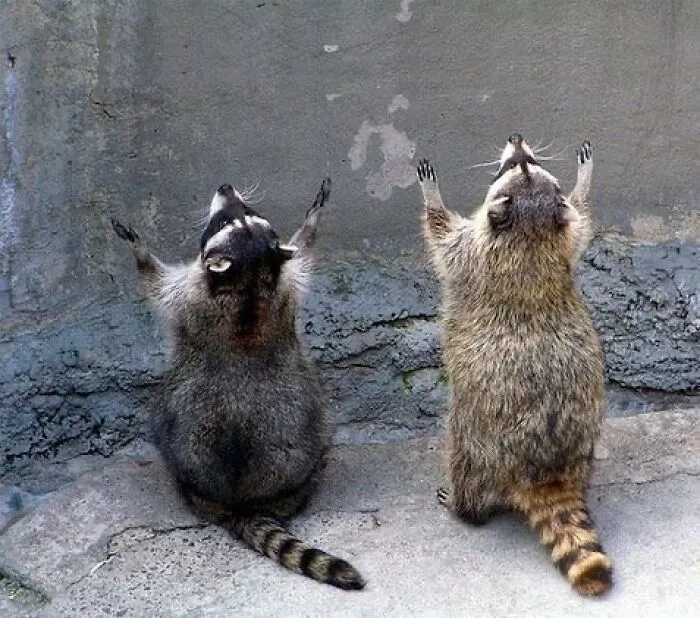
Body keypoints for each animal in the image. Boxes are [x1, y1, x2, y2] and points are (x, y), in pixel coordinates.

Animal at [111, 178, 365, 590]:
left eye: (230, 219)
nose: (226, 186)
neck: (250, 276)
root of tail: (241, 501)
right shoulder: (278, 286)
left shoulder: (190, 292)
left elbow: (154, 281)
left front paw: (138, 248)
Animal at [416, 136, 613, 596]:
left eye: (519, 164)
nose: (518, 140)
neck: (531, 235)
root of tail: (547, 470)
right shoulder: (563, 240)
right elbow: (581, 221)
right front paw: (584, 181)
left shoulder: (471, 251)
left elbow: (441, 234)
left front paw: (432, 195)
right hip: (585, 443)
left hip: (476, 439)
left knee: (464, 463)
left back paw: (464, 508)